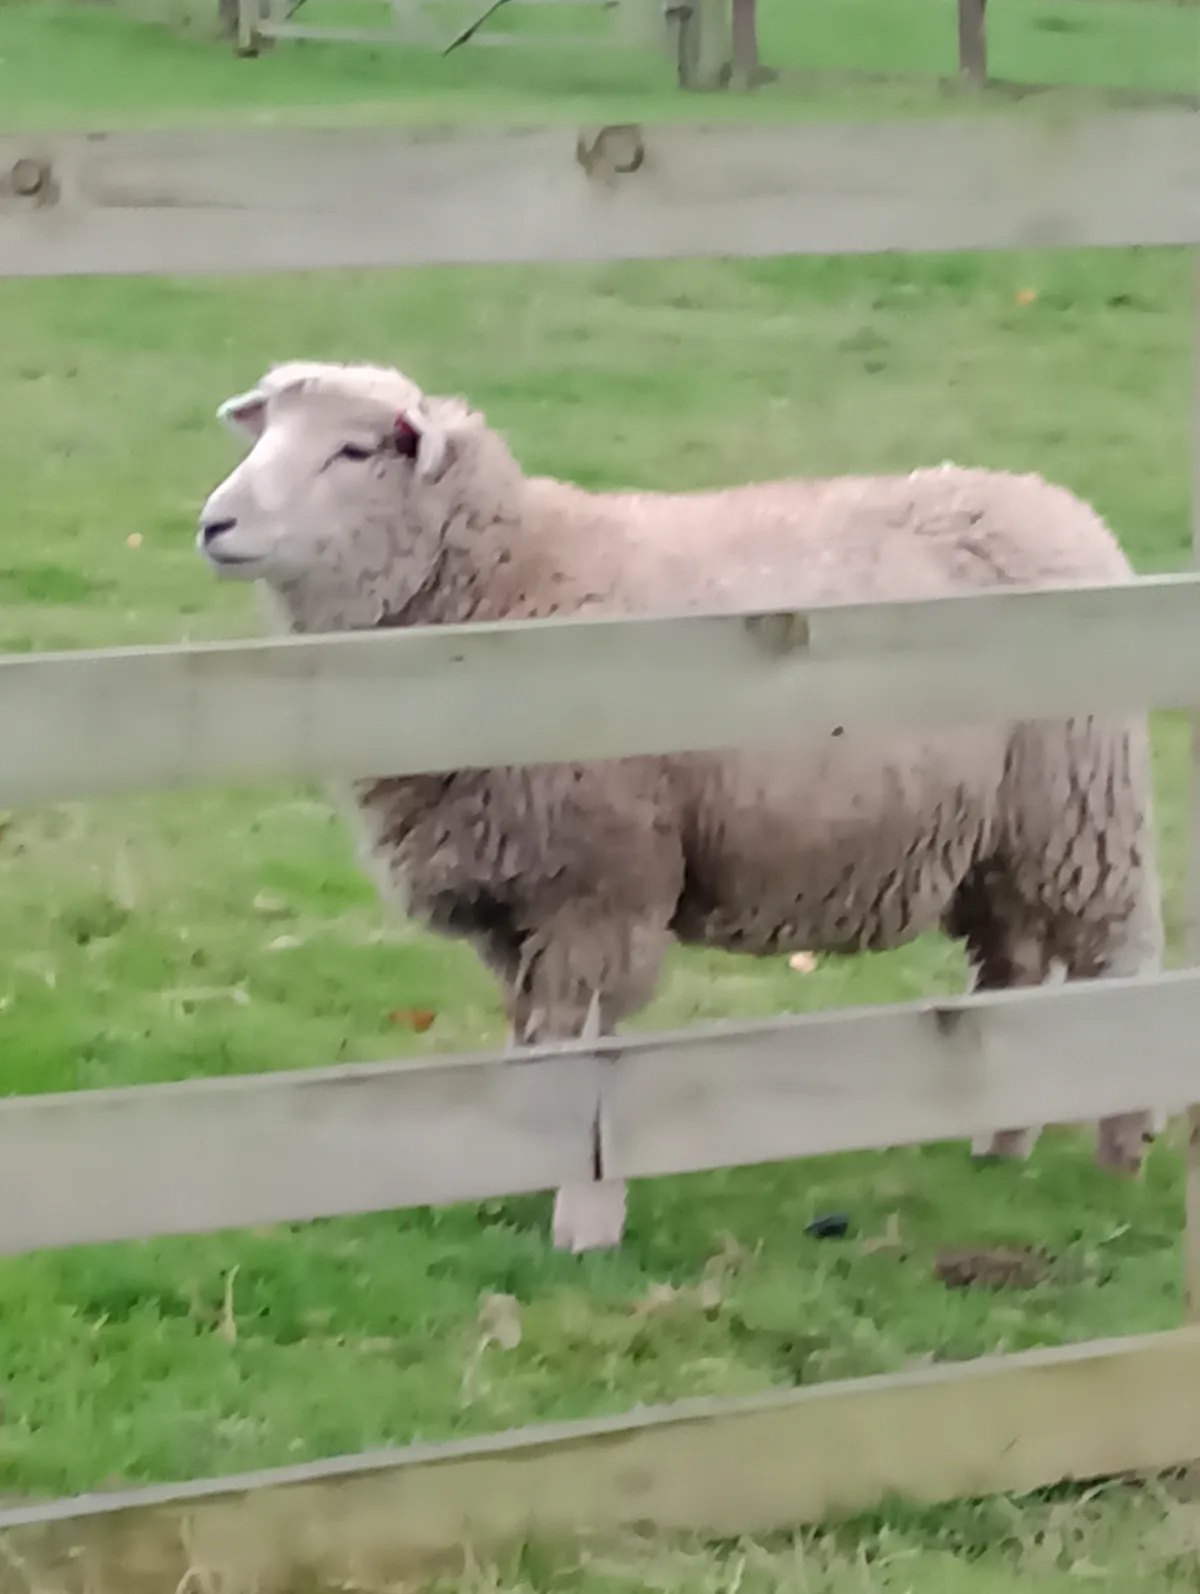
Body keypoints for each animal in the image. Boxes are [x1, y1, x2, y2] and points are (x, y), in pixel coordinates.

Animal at [197, 359, 1165, 1253]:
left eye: (355, 450)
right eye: (265, 435)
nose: (213, 524)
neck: (511, 584)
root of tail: (1062, 507)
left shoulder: (600, 886)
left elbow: (583, 1055)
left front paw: (583, 1223)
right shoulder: (517, 895)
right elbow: (533, 1043)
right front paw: (517, 1177)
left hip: (1080, 809)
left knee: (1120, 962)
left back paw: (1123, 1146)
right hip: (998, 842)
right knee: (1015, 974)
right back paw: (1001, 1140)